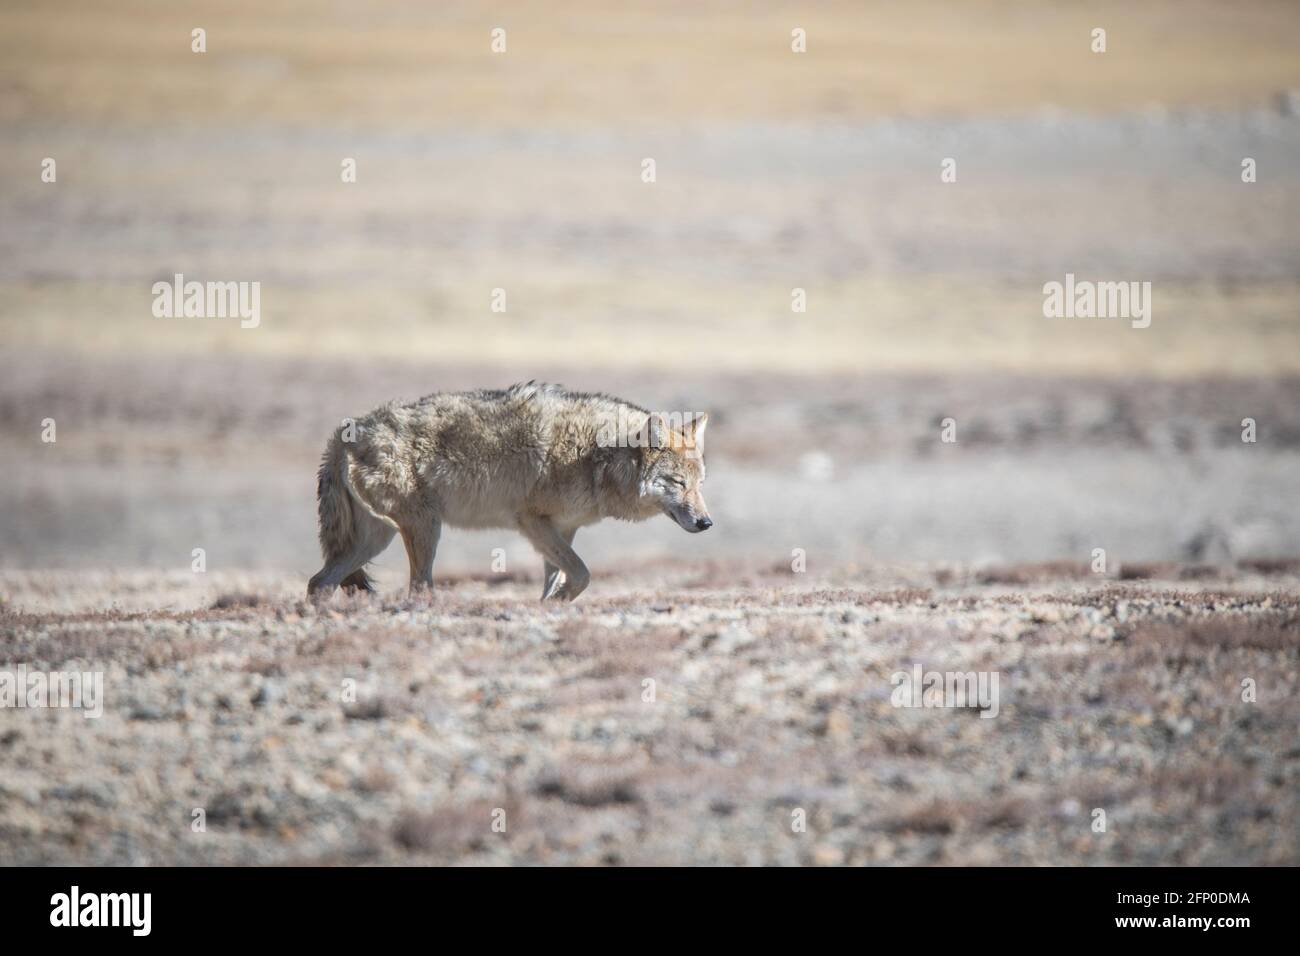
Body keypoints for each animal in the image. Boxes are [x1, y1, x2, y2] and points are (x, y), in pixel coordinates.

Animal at [306, 379, 712, 598]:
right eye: (678, 483)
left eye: (700, 484)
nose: (706, 523)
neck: (597, 457)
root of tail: (344, 434)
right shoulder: (532, 522)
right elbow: (582, 573)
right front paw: (558, 601)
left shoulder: (563, 528)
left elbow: (561, 577)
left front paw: (551, 606)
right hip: (424, 529)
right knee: (417, 587)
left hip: (377, 538)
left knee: (318, 582)